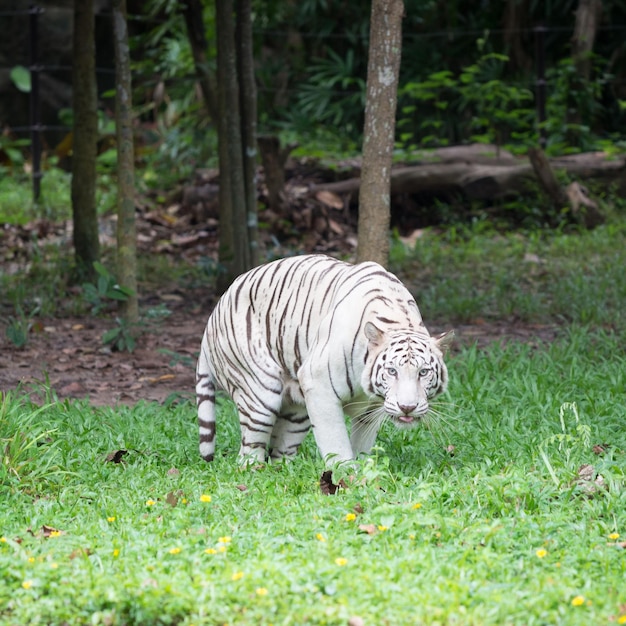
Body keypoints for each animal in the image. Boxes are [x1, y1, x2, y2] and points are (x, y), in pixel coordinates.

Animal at [194, 252, 448, 464]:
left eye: (423, 372)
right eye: (392, 371)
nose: (407, 408)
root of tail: (212, 317)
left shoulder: (371, 411)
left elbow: (362, 445)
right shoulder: (319, 386)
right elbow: (336, 443)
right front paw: (346, 476)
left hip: (296, 413)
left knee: (280, 454)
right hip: (260, 395)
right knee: (248, 455)